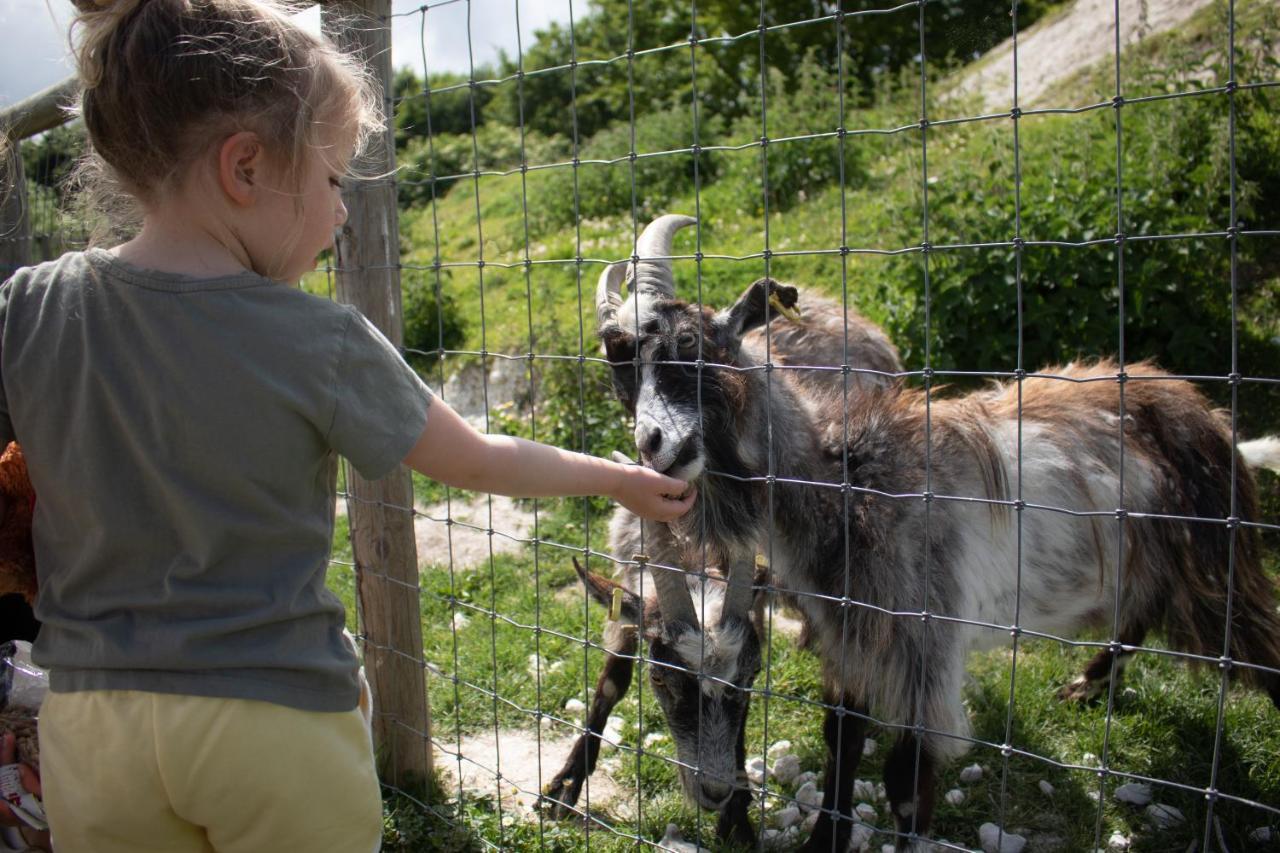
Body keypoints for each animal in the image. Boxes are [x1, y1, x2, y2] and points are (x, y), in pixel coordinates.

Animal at [540, 211, 901, 835]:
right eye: (616, 360)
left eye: (691, 343)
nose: (652, 444)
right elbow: (612, 677)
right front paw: (563, 785)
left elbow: (844, 719)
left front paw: (753, 816)